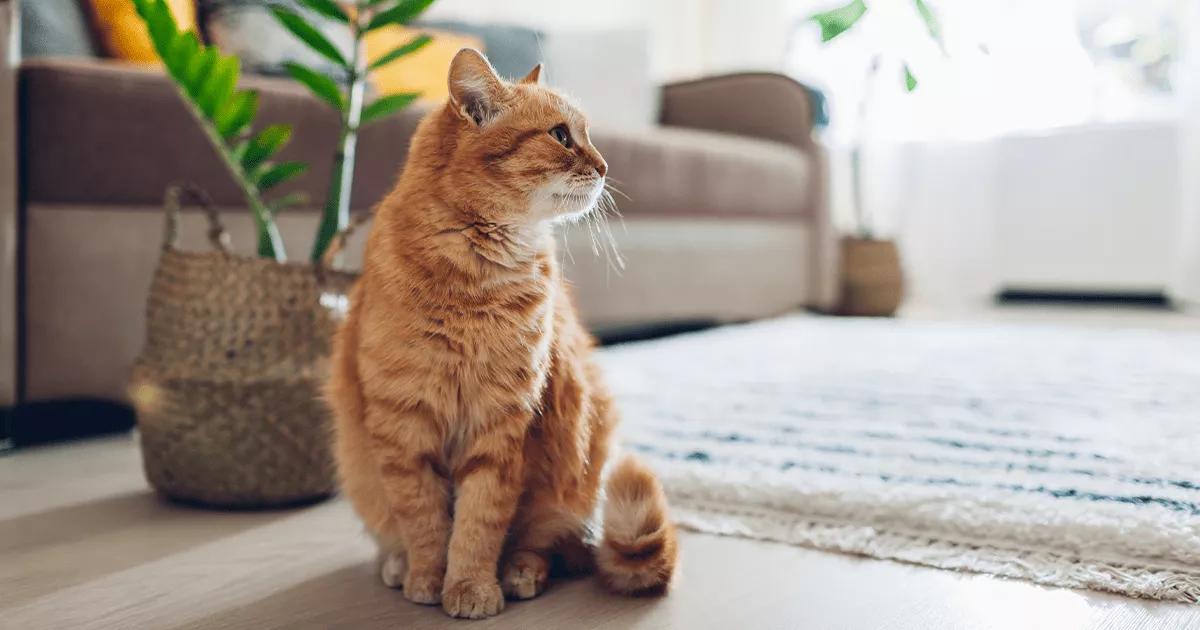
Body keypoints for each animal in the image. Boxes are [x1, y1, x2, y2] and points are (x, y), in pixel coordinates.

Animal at [326, 50, 676, 619]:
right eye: (560, 135)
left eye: (584, 134)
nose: (605, 167)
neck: (474, 282)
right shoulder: (404, 428)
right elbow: (424, 521)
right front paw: (428, 577)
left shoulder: (502, 424)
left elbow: (478, 523)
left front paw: (470, 586)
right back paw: (397, 565)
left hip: (578, 465)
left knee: (546, 543)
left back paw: (519, 572)